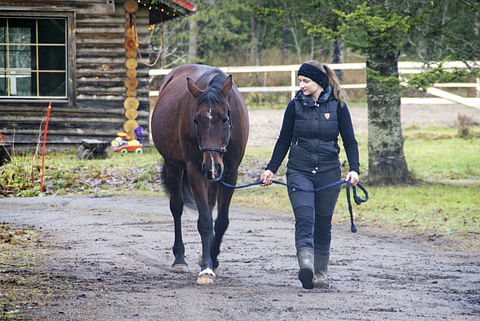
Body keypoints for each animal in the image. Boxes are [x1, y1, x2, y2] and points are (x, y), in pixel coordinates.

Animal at [151, 63, 249, 284]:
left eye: (225, 119)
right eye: (196, 120)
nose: (212, 166)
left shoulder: (230, 173)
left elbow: (221, 221)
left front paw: (213, 257)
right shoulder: (195, 170)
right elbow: (204, 221)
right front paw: (206, 268)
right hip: (175, 166)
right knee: (177, 208)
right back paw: (179, 259)